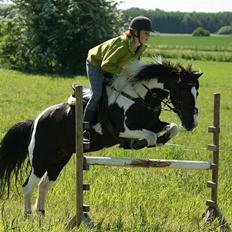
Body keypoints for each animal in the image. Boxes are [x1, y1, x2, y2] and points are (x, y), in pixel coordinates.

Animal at [0, 59, 201, 216]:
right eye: (183, 93)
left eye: (197, 93)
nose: (192, 123)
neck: (141, 97)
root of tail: (35, 121)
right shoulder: (124, 129)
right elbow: (149, 136)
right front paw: (140, 144)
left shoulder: (153, 122)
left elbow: (172, 128)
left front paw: (163, 138)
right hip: (40, 159)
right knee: (28, 186)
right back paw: (28, 216)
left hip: (60, 159)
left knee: (43, 186)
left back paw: (41, 217)